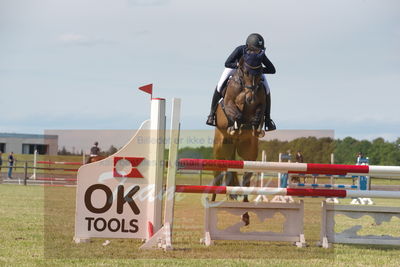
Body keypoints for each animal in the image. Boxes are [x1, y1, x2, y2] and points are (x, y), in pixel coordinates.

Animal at [212, 50, 266, 226]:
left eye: (260, 72)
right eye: (246, 72)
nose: (251, 97)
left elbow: (259, 111)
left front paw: (254, 123)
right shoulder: (230, 102)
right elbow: (233, 108)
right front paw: (235, 122)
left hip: (249, 153)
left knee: (246, 180)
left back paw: (246, 214)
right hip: (220, 150)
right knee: (217, 174)